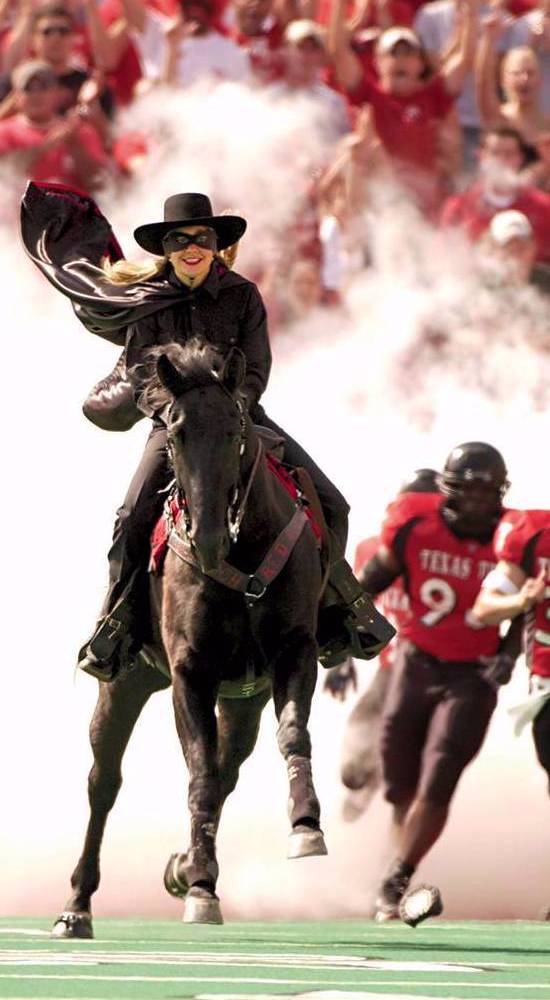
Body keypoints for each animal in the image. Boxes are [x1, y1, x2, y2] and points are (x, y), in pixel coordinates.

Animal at [52, 344, 326, 936]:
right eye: (174, 433)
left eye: (234, 428)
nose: (206, 538)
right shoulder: (190, 672)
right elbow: (198, 773)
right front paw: (201, 887)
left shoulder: (294, 652)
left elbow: (291, 734)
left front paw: (305, 826)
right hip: (125, 684)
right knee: (104, 782)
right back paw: (77, 906)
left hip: (242, 701)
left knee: (228, 767)